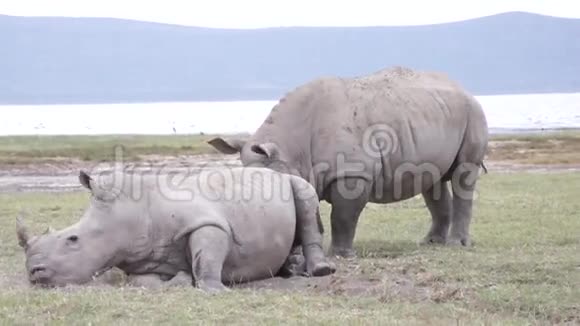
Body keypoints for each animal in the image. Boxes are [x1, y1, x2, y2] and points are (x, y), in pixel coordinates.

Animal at [15, 167, 336, 292]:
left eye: (73, 239)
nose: (34, 273)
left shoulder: (207, 221)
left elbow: (207, 256)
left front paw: (214, 288)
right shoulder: (141, 258)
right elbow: (142, 282)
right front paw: (180, 278)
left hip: (291, 181)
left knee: (305, 195)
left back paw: (319, 271)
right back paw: (291, 268)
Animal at [208, 67, 490, 260]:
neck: (290, 147)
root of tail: (464, 88)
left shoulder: (352, 172)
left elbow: (343, 217)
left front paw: (340, 255)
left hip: (473, 112)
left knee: (464, 174)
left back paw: (456, 245)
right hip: (434, 114)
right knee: (432, 181)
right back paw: (430, 243)